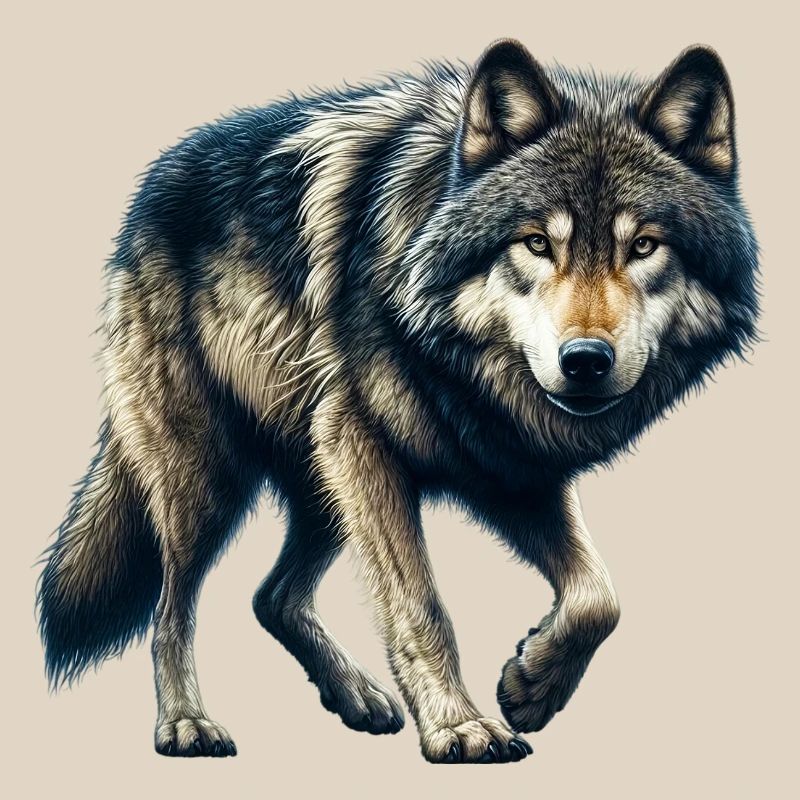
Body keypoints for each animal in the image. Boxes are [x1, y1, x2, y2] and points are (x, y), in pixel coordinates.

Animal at [37, 39, 759, 763]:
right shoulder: (367, 444)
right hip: (214, 480)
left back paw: (354, 695)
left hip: (324, 483)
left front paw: (533, 686)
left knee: (272, 597)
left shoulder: (509, 469)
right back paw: (186, 723)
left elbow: (600, 597)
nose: (585, 361)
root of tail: (151, 184)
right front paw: (459, 727)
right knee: (170, 609)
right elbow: (420, 605)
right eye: (536, 243)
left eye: (643, 246)